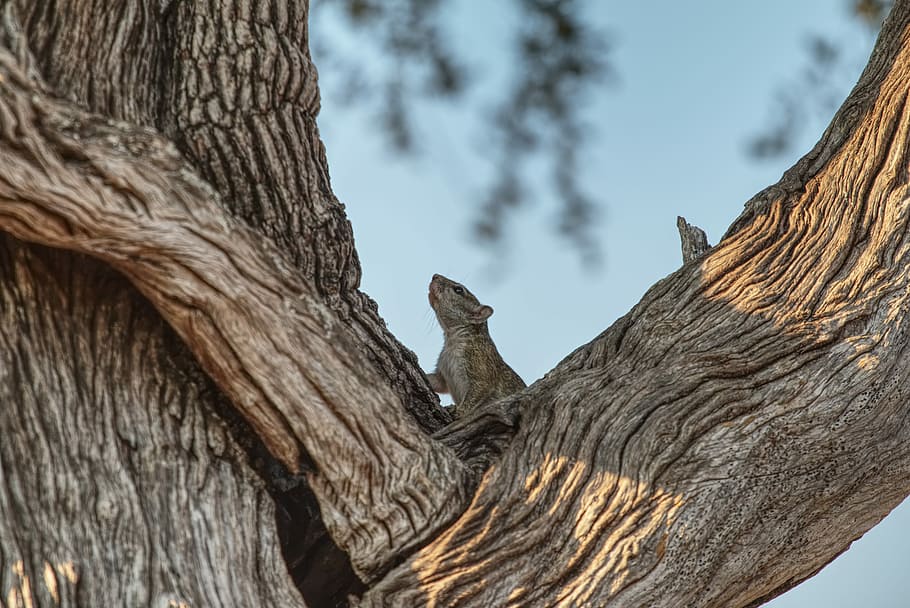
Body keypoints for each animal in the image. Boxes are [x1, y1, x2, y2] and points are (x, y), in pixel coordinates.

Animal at [426, 274, 526, 417]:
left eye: (458, 290)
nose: (435, 276)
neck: (452, 340)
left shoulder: (480, 362)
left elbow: (479, 389)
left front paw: (458, 411)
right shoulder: (443, 369)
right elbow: (437, 382)